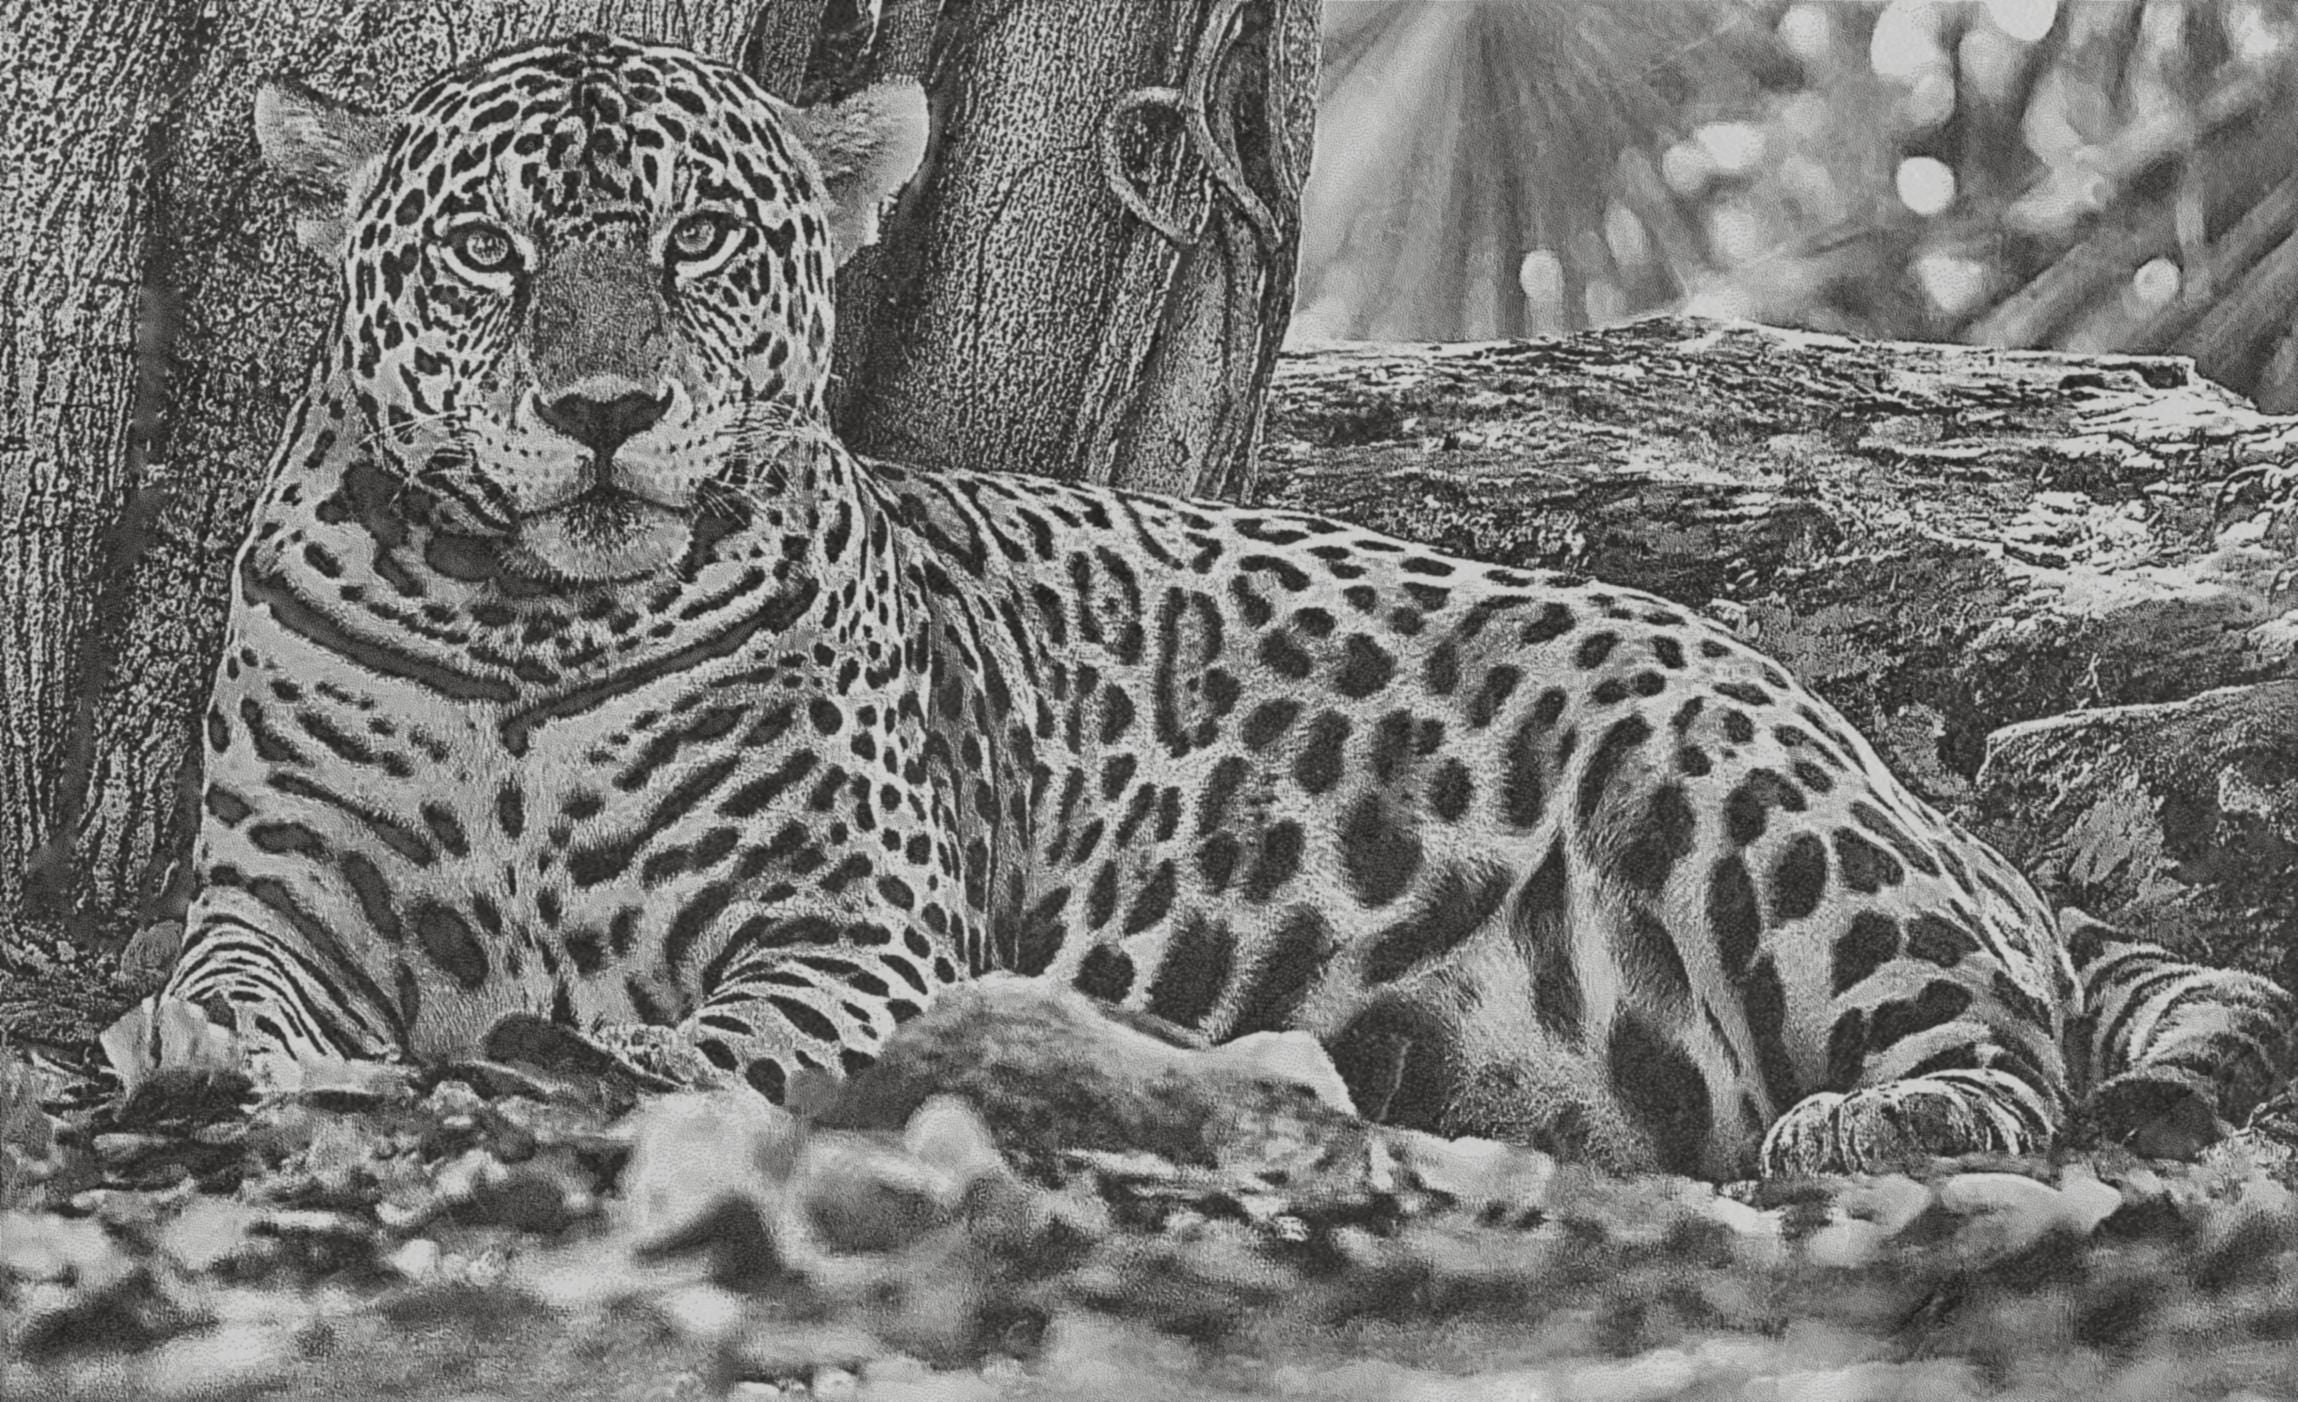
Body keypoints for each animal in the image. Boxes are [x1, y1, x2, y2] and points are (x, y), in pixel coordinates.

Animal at [122, 31, 2295, 1180]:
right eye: (487, 254)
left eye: (704, 241)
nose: (601, 413)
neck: (529, 631)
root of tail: (1935, 809)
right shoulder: (281, 896)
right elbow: (226, 981)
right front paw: (192, 1041)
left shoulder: (858, 928)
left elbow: (729, 1029)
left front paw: (596, 1065)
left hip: (1726, 780)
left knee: (2013, 1050)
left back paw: (1886, 1128)